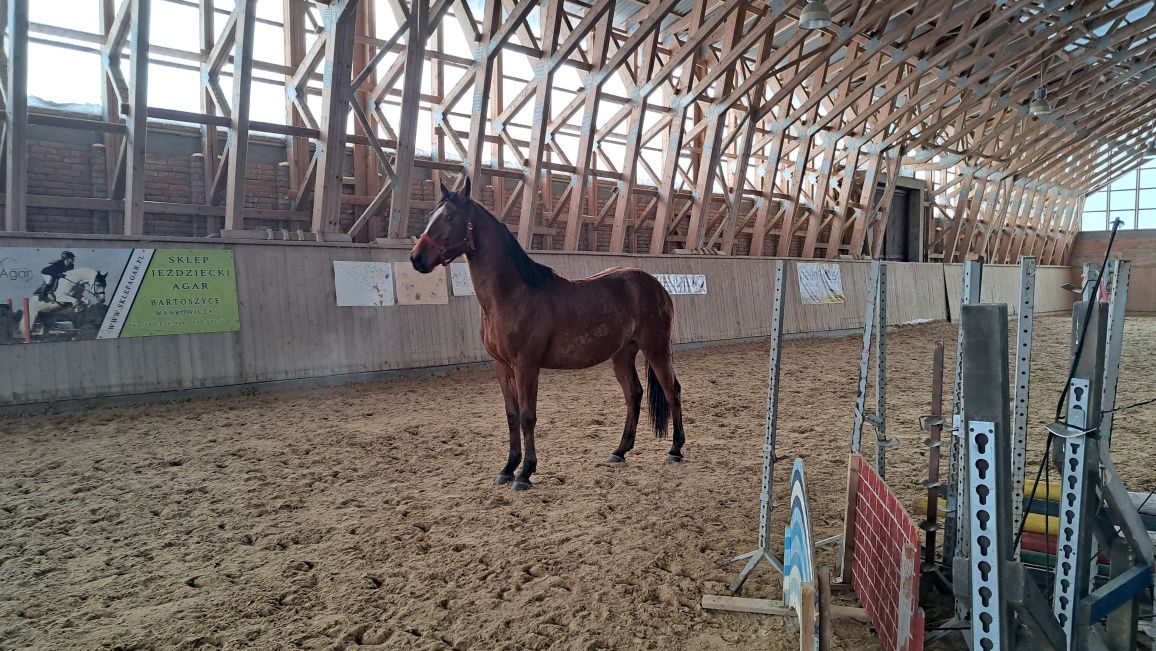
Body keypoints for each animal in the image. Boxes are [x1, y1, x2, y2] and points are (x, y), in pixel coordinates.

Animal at [411, 175, 684, 492]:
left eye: (451, 217)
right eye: (433, 214)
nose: (416, 258)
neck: (513, 295)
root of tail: (655, 284)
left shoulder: (526, 366)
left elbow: (527, 417)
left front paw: (525, 473)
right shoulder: (502, 367)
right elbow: (512, 416)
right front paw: (507, 468)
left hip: (656, 347)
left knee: (671, 391)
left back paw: (675, 449)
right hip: (623, 353)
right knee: (634, 394)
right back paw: (619, 451)